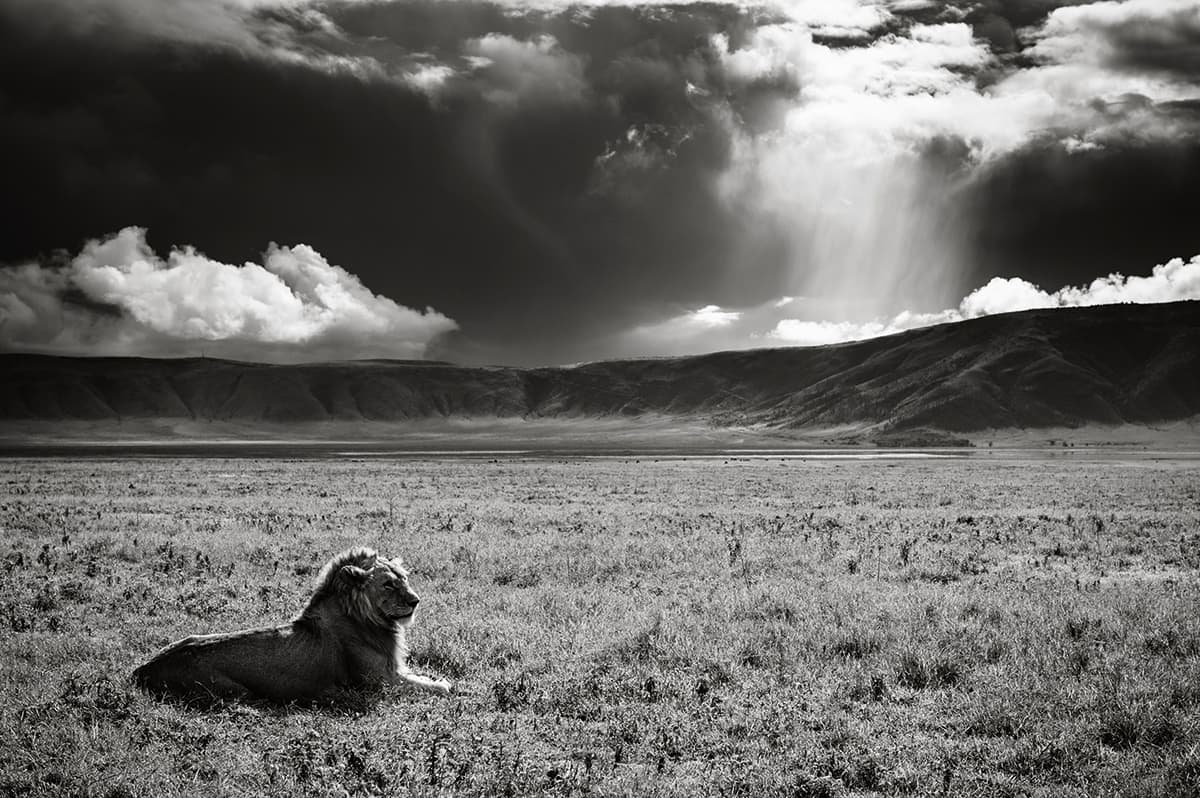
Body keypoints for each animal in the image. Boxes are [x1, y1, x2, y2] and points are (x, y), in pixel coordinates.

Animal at [130, 544, 451, 700]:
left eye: (404, 578)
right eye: (387, 584)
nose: (415, 601)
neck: (366, 618)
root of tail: (143, 669)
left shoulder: (394, 670)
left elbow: (425, 675)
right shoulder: (379, 682)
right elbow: (433, 686)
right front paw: (446, 685)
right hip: (233, 690)